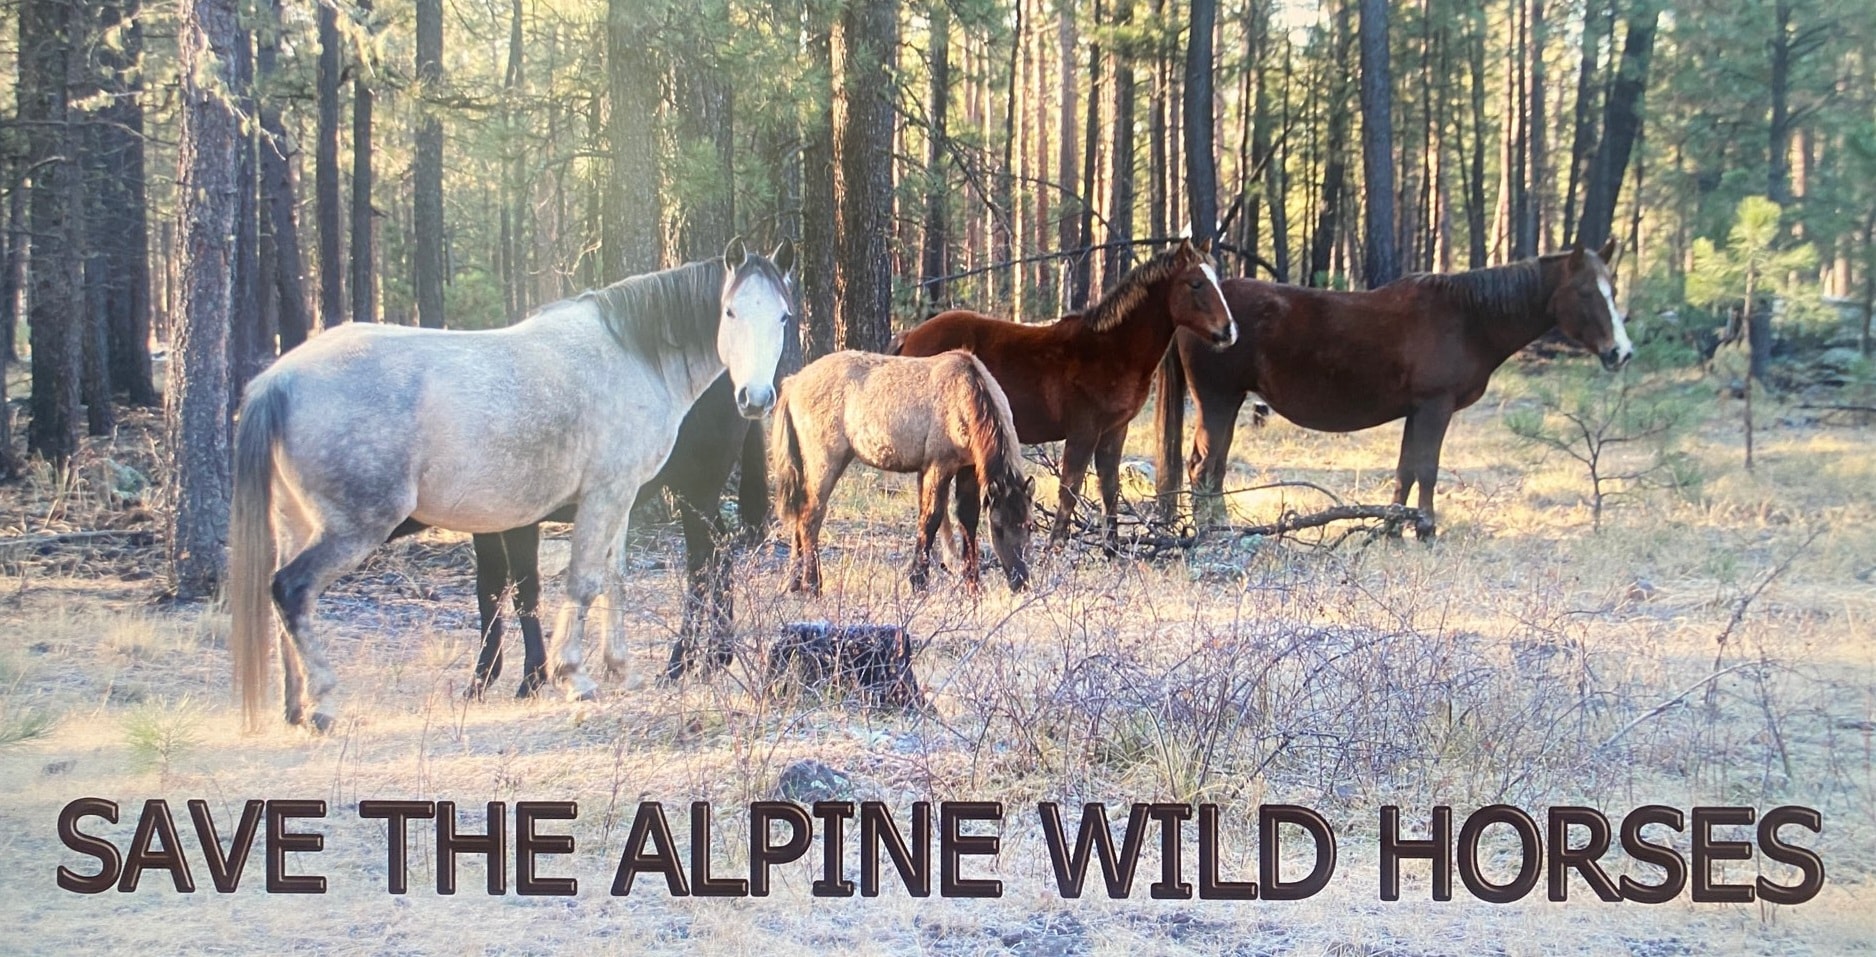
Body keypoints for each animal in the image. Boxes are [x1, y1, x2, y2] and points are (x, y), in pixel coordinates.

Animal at [454, 375, 769, 699]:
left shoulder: (521, 522)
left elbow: (524, 590)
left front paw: (530, 678)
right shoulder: (485, 523)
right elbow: (488, 590)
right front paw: (480, 679)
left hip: (696, 488)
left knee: (701, 567)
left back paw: (680, 663)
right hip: (695, 497)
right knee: (721, 553)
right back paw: (716, 656)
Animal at [770, 350, 1033, 596]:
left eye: (1030, 526)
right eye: (998, 527)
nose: (1020, 581)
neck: (965, 391)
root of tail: (794, 382)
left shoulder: (968, 469)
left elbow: (967, 520)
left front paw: (973, 587)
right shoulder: (938, 466)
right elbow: (931, 518)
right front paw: (919, 581)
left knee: (800, 516)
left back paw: (794, 583)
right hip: (824, 462)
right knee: (810, 517)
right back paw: (813, 585)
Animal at [892, 239, 1235, 552]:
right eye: (1196, 283)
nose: (1229, 331)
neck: (1111, 349)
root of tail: (910, 335)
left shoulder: (1114, 430)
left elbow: (1109, 487)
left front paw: (1112, 548)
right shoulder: (1084, 431)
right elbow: (1070, 487)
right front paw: (1055, 547)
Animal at [1164, 239, 1631, 539]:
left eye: (1614, 288)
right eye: (1586, 292)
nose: (1621, 353)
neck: (1468, 317)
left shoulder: (1416, 411)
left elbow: (1406, 470)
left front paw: (1391, 529)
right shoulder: (1435, 407)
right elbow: (1427, 470)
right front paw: (1426, 530)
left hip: (1228, 402)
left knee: (1213, 469)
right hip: (1219, 401)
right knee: (1204, 470)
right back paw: (1211, 533)